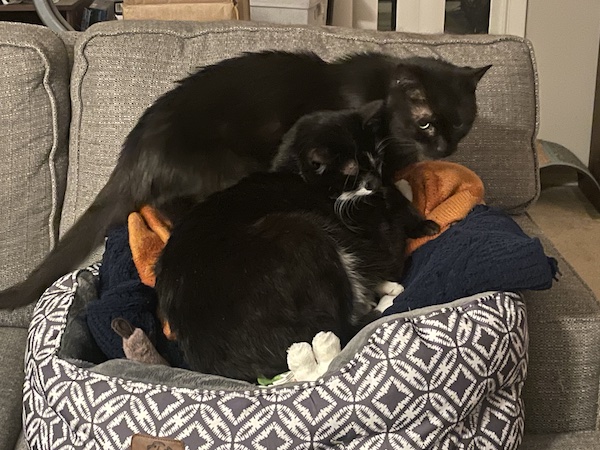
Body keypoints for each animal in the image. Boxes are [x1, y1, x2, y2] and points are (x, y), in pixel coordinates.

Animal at [0, 50, 492, 310]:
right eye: (426, 123)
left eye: (462, 124)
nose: (446, 150)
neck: (383, 99)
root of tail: (136, 145)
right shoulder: (368, 167)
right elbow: (390, 195)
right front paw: (422, 222)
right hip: (232, 169)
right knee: (163, 206)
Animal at [152, 100, 438, 382]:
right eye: (353, 172)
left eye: (377, 160)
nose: (376, 182)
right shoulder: (372, 236)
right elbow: (392, 239)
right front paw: (408, 200)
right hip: (300, 234)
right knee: (345, 321)